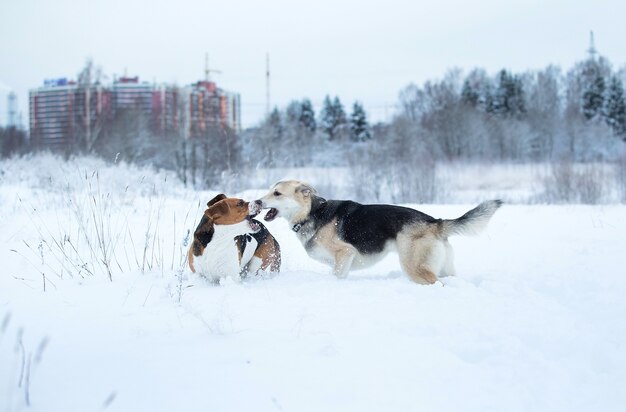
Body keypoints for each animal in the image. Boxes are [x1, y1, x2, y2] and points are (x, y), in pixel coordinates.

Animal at [251, 180, 500, 284]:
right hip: (444, 267)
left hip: (414, 266)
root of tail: (435, 222)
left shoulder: (344, 254)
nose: (256, 201)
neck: (312, 212)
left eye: (277, 193)